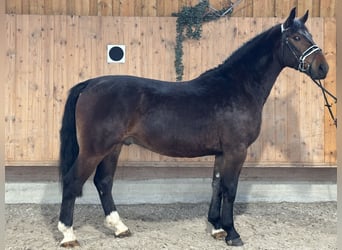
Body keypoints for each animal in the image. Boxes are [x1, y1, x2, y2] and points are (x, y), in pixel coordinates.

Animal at [58, 8, 328, 247]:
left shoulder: (222, 153)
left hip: (113, 148)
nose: (322, 68)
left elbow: (217, 185)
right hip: (94, 150)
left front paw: (217, 228)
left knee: (103, 182)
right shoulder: (236, 150)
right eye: (296, 37)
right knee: (73, 181)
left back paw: (119, 227)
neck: (238, 87)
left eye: (310, 35)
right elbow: (230, 188)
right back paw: (68, 235)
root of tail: (91, 84)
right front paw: (232, 233)